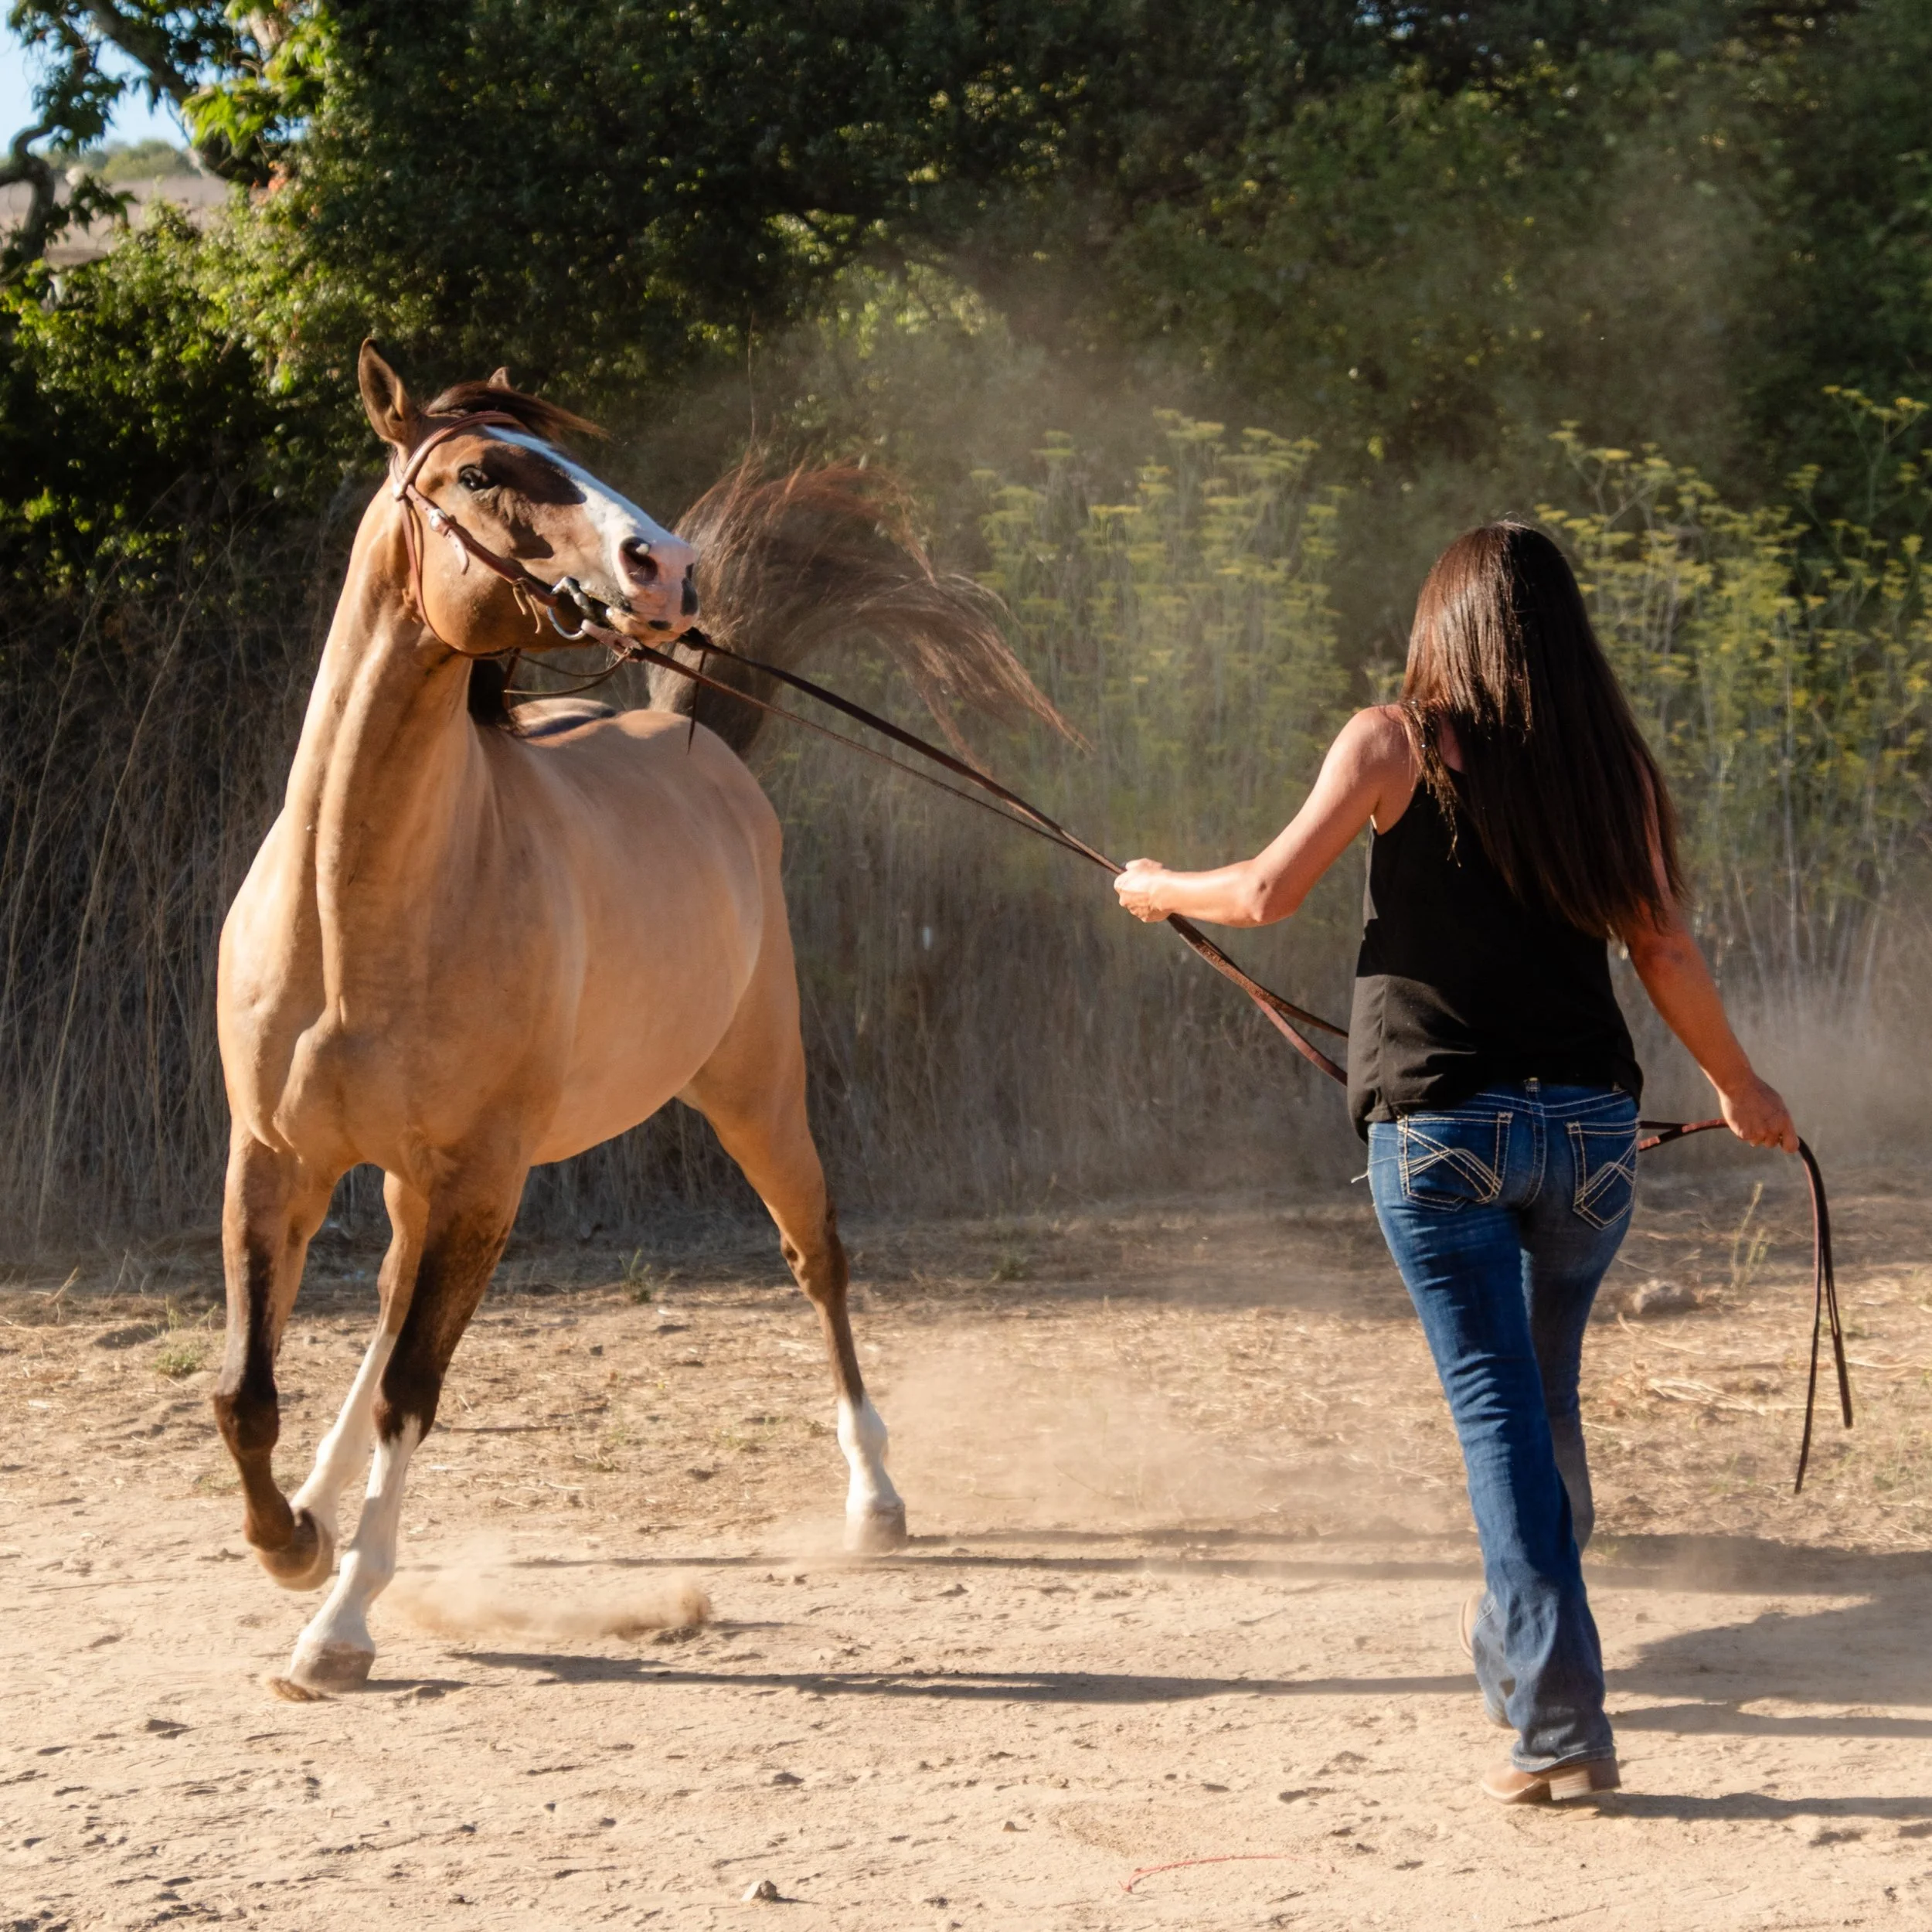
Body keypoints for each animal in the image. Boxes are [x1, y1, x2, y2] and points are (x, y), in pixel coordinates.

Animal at [211, 341, 1062, 1694]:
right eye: (480, 471)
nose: (667, 566)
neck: (355, 911)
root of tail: (688, 736)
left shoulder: (483, 1182)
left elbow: (411, 1392)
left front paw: (337, 1623)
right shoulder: (275, 1162)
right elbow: (248, 1390)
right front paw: (294, 1542)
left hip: (755, 1097)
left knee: (817, 1257)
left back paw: (875, 1500)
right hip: (410, 1181)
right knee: (386, 1310)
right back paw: (321, 1503)